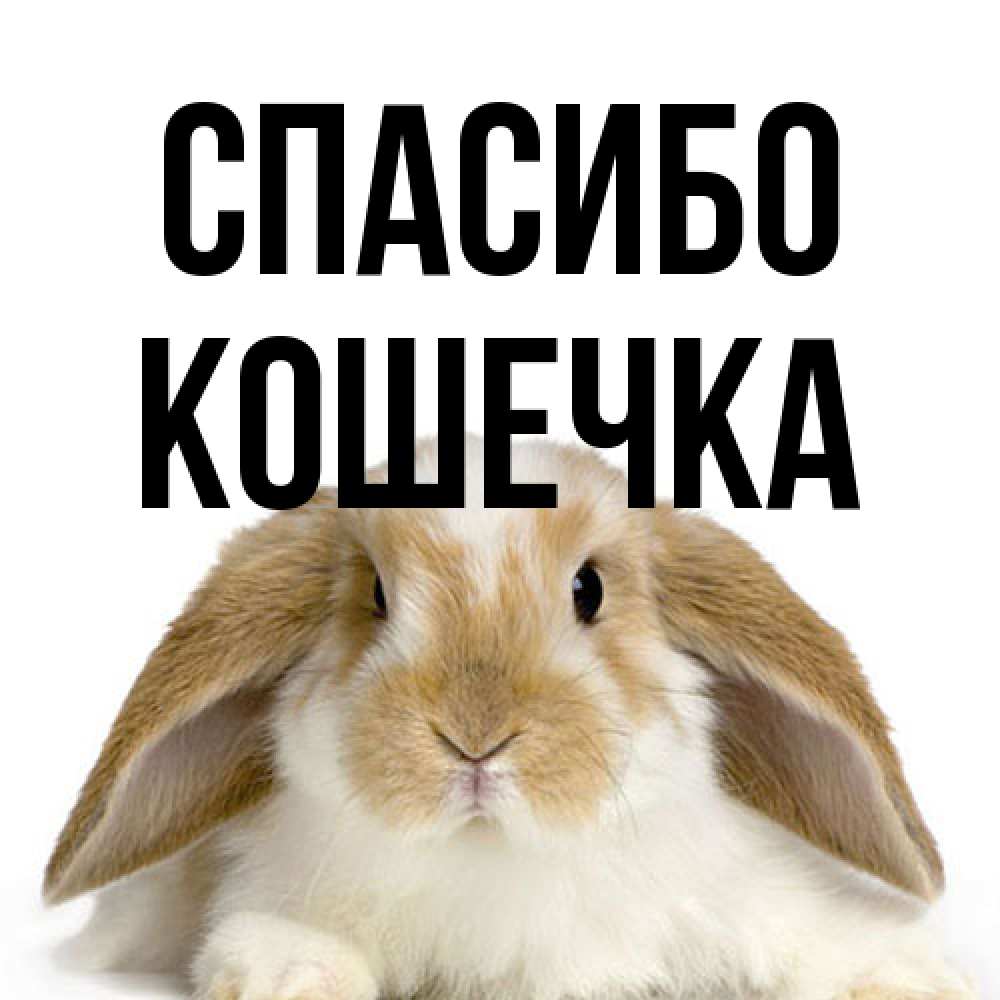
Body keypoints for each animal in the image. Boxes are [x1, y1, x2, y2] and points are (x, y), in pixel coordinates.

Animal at [45, 435, 975, 1000]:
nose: (475, 737)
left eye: (589, 589)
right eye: (376, 596)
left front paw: (911, 978)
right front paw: (292, 977)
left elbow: (817, 939)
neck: (496, 856)